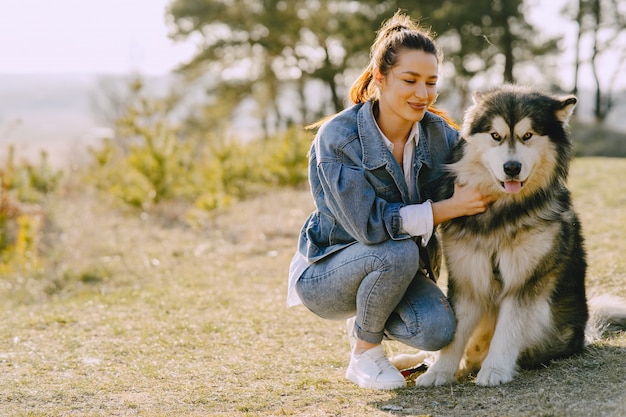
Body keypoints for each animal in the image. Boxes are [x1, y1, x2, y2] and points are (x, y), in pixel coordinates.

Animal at [410, 84, 624, 386]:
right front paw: (439, 372)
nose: (512, 168)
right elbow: (454, 335)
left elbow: (508, 328)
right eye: (496, 136)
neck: (502, 213)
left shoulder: (525, 281)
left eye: (527, 136)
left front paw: (495, 370)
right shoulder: (467, 277)